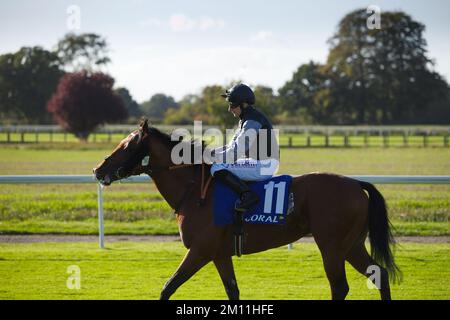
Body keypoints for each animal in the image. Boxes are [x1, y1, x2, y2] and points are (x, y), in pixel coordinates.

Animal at [94, 119, 400, 300]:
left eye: (126, 145)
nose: (98, 169)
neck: (194, 191)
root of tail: (355, 183)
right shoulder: (219, 254)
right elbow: (233, 292)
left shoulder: (200, 251)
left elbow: (168, 287)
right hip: (351, 245)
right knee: (379, 275)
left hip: (332, 246)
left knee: (340, 286)